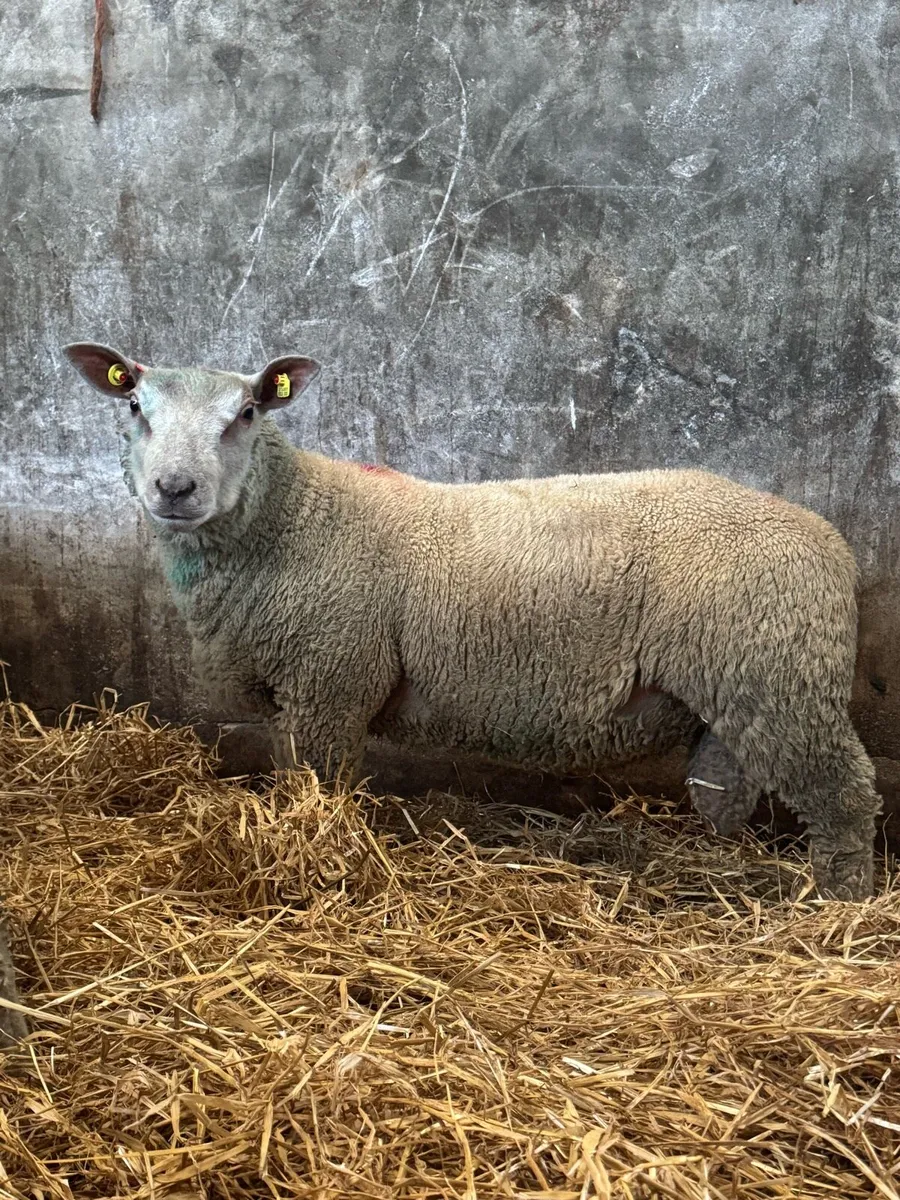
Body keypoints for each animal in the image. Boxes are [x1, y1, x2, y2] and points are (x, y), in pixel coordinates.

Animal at [64, 341, 882, 901]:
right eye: (135, 408)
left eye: (246, 414)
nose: (175, 488)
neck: (294, 521)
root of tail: (833, 545)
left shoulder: (331, 681)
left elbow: (317, 785)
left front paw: (313, 849)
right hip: (744, 688)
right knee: (728, 786)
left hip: (783, 680)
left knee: (845, 793)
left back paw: (842, 900)